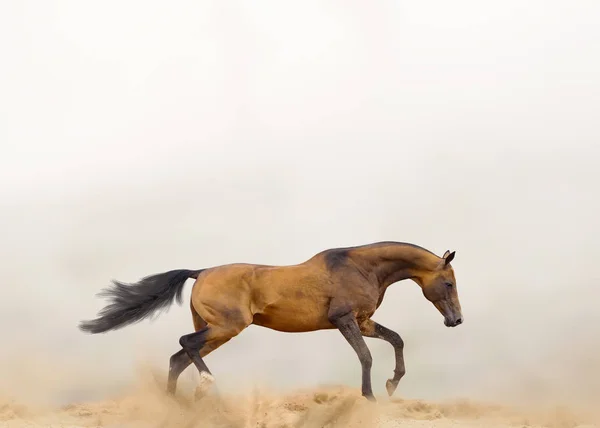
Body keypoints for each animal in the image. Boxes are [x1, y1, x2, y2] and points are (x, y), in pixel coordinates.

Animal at [78, 241, 464, 402]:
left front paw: (391, 384)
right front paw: (370, 395)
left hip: (217, 332)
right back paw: (204, 385)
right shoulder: (344, 319)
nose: (456, 320)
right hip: (226, 328)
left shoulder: (364, 321)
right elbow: (365, 356)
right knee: (185, 346)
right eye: (448, 283)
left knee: (178, 358)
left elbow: (396, 339)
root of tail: (200, 272)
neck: (360, 267)